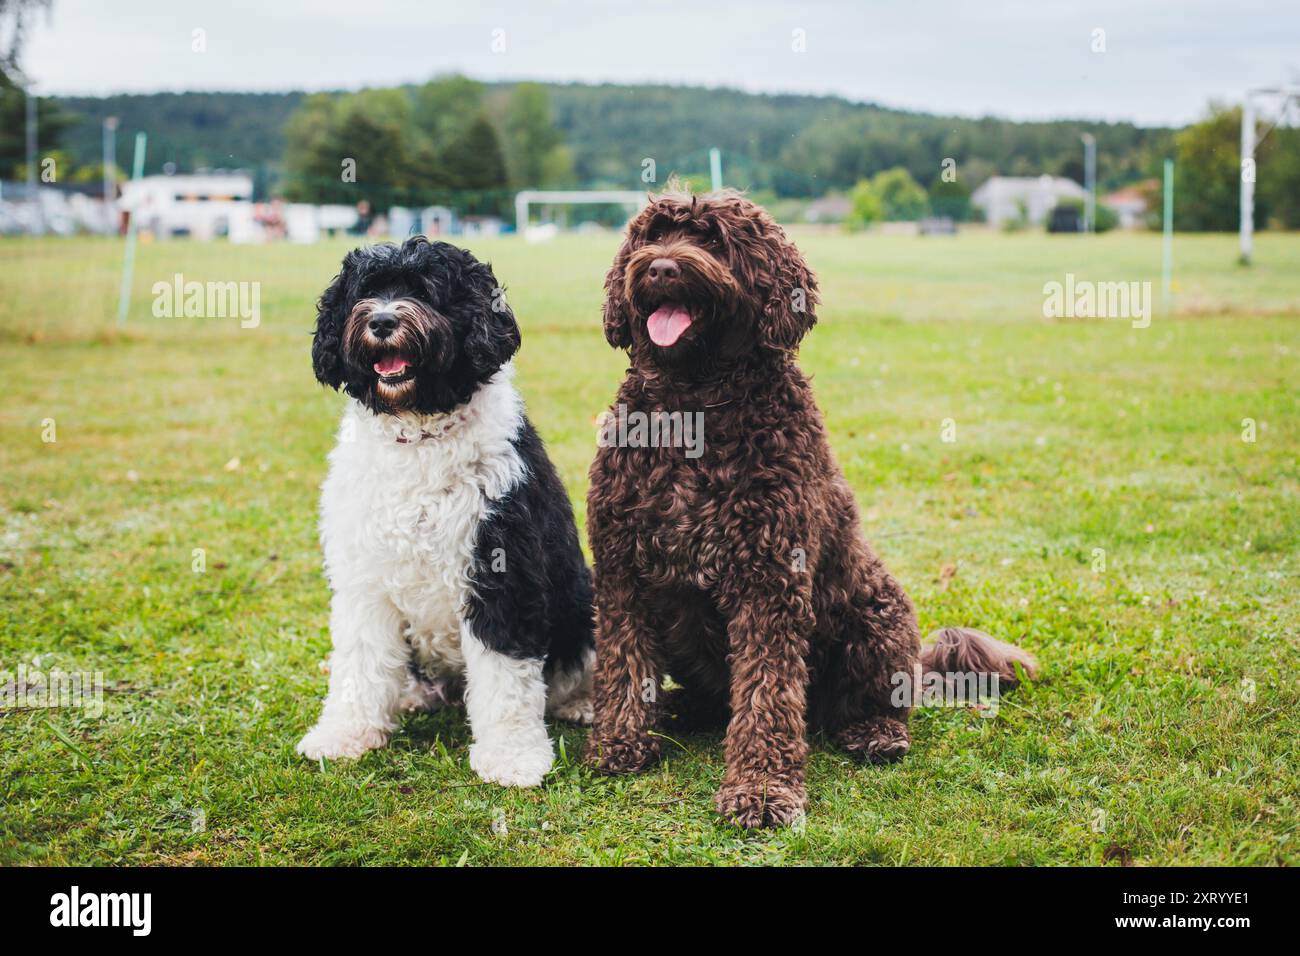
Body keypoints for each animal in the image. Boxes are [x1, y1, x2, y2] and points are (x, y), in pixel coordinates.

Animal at [296, 238, 595, 785]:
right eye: (366, 291)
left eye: (427, 291)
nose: (383, 321)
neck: (419, 436)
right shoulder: (364, 584)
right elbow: (360, 665)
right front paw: (344, 735)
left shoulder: (500, 576)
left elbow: (505, 680)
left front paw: (512, 756)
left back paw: (582, 702)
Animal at [587, 188, 1034, 832]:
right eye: (652, 236)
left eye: (714, 239)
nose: (661, 268)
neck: (693, 406)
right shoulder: (623, 571)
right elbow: (624, 664)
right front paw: (620, 743)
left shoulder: (769, 580)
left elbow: (768, 693)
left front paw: (761, 789)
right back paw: (679, 708)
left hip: (877, 613)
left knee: (872, 702)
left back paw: (874, 732)